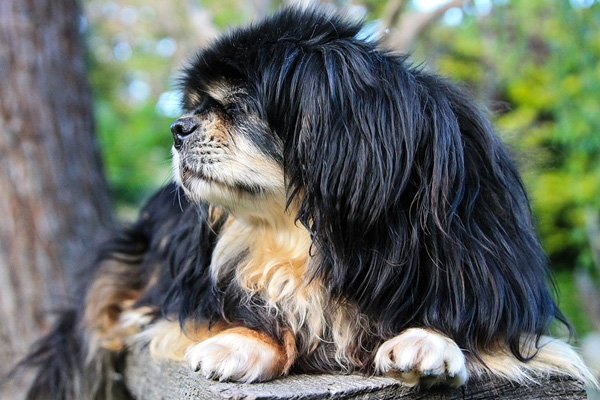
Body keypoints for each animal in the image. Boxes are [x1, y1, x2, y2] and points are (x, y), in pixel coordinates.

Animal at [12, 7, 596, 400]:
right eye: (195, 106)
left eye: (236, 106)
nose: (177, 128)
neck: (318, 233)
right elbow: (254, 307)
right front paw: (241, 343)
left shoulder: (486, 273)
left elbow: (468, 321)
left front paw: (430, 342)